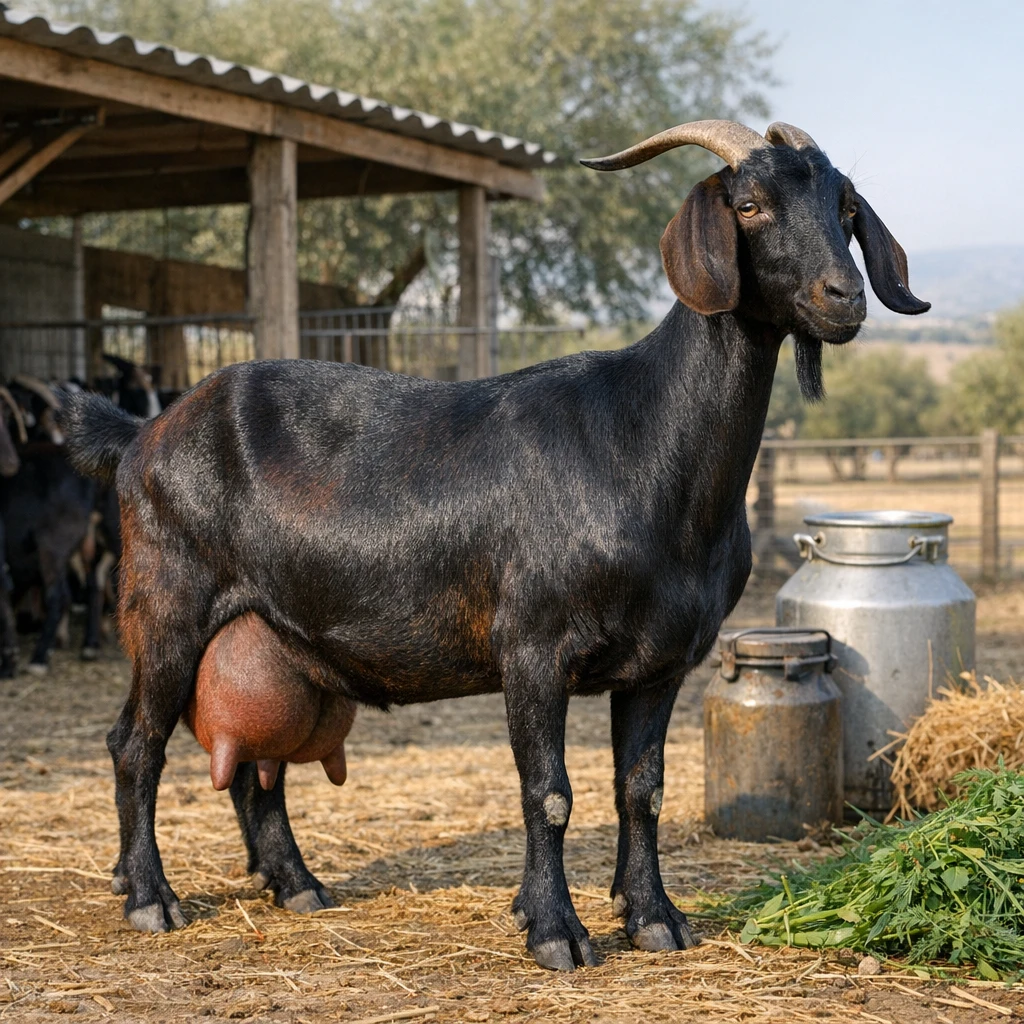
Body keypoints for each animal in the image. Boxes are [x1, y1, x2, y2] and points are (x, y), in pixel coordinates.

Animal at [61, 120, 929, 971]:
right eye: (749, 205)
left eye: (846, 208)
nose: (843, 297)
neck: (646, 442)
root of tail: (141, 435)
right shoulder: (534, 645)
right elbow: (549, 791)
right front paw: (555, 932)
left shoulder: (661, 661)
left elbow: (642, 789)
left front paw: (654, 919)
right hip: (165, 609)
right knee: (135, 744)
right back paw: (150, 899)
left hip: (267, 638)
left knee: (255, 767)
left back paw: (298, 886)